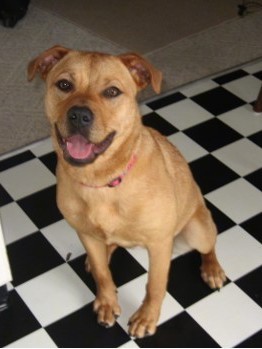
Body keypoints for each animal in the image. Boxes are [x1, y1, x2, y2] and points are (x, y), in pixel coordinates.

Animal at [28, 46, 225, 338]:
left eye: (112, 92)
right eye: (64, 85)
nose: (79, 115)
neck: (103, 182)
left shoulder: (159, 244)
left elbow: (155, 285)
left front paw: (146, 317)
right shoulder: (86, 233)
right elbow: (102, 274)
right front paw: (107, 302)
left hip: (197, 229)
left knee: (209, 245)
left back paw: (212, 268)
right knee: (109, 247)